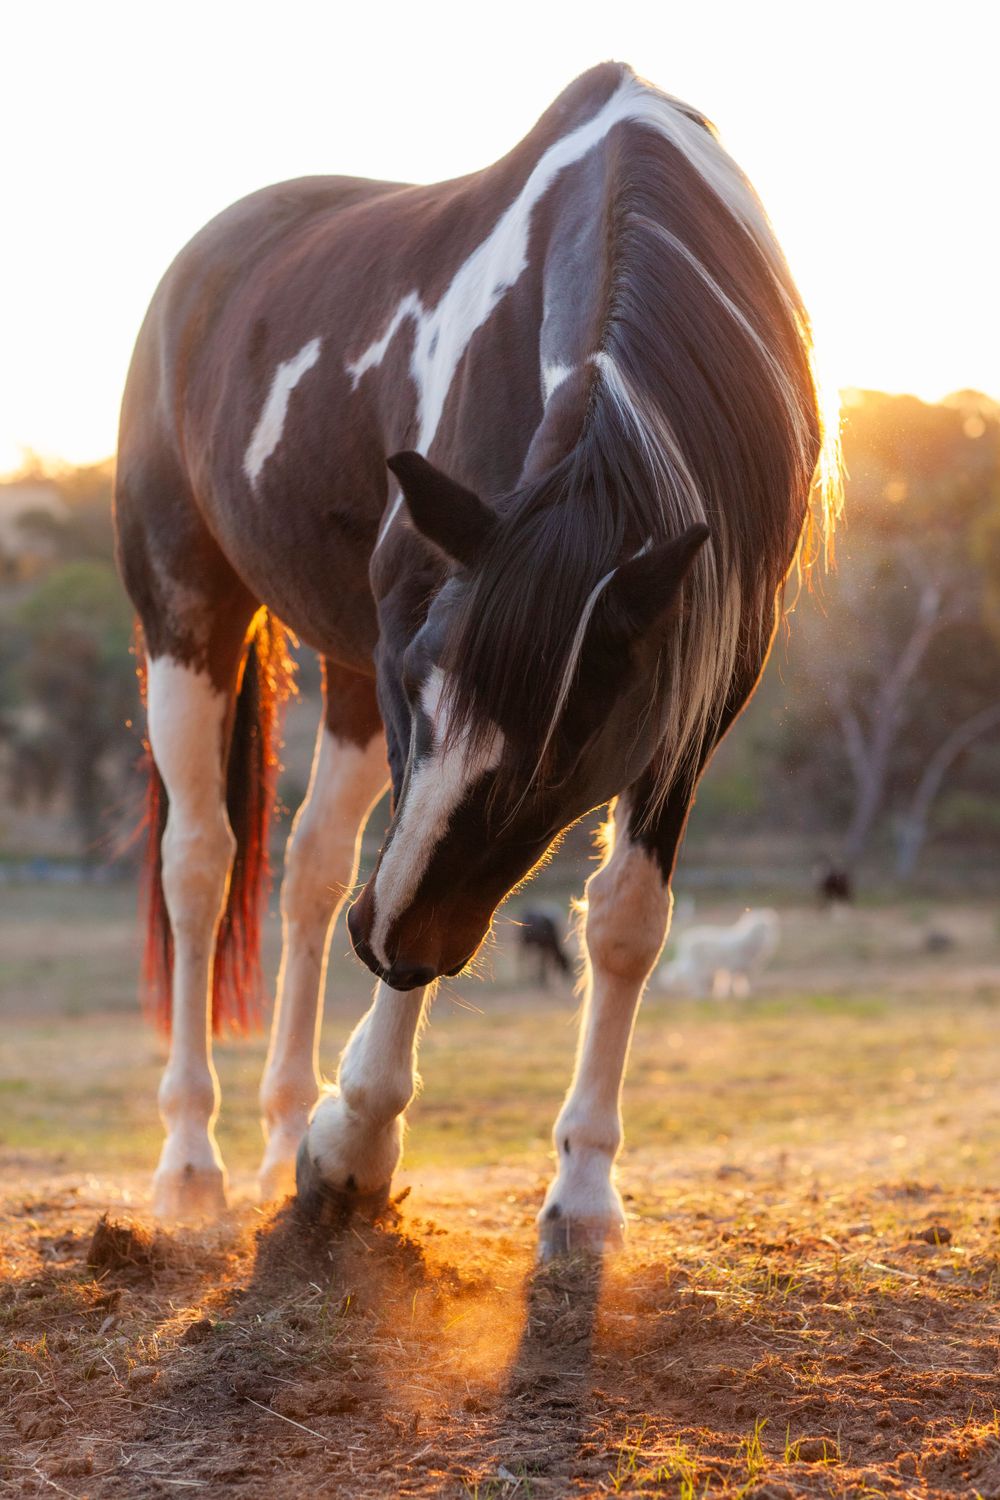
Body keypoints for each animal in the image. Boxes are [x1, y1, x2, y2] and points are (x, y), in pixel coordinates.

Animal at [114, 61, 839, 1256]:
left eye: (562, 755)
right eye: (422, 688)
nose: (385, 940)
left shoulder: (697, 692)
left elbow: (626, 923)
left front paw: (583, 1193)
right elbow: (404, 878)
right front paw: (354, 1147)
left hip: (340, 675)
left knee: (313, 870)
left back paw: (280, 1129)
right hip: (187, 609)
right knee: (202, 864)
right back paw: (190, 1160)